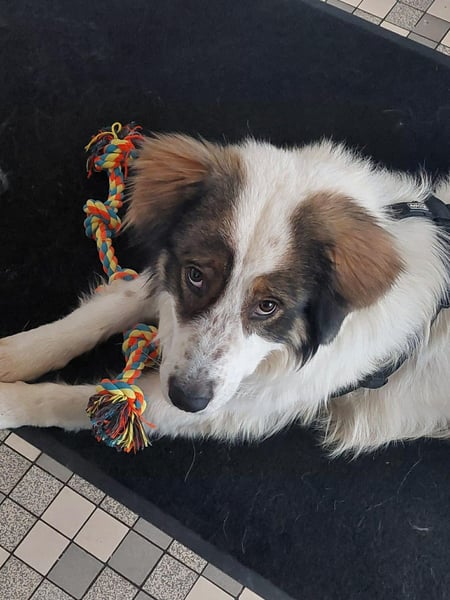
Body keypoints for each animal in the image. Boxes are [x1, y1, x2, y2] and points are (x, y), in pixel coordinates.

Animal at [1, 134, 449, 456]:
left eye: (268, 306)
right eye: (196, 276)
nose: (188, 398)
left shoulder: (241, 403)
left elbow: (77, 400)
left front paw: (9, 401)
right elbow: (100, 314)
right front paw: (15, 355)